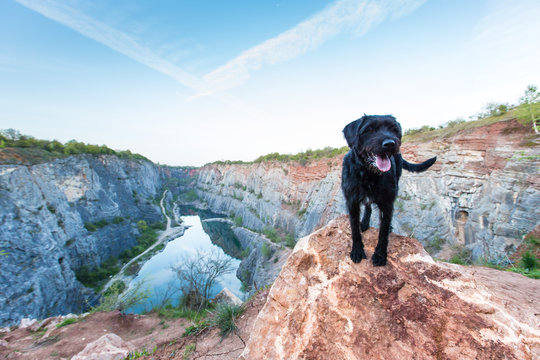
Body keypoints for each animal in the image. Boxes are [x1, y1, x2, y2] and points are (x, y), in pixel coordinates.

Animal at [342, 114, 438, 266]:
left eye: (394, 129)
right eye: (369, 129)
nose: (390, 144)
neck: (369, 174)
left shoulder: (387, 204)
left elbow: (383, 230)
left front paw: (380, 255)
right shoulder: (352, 202)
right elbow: (354, 228)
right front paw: (357, 250)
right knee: (368, 207)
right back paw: (365, 222)